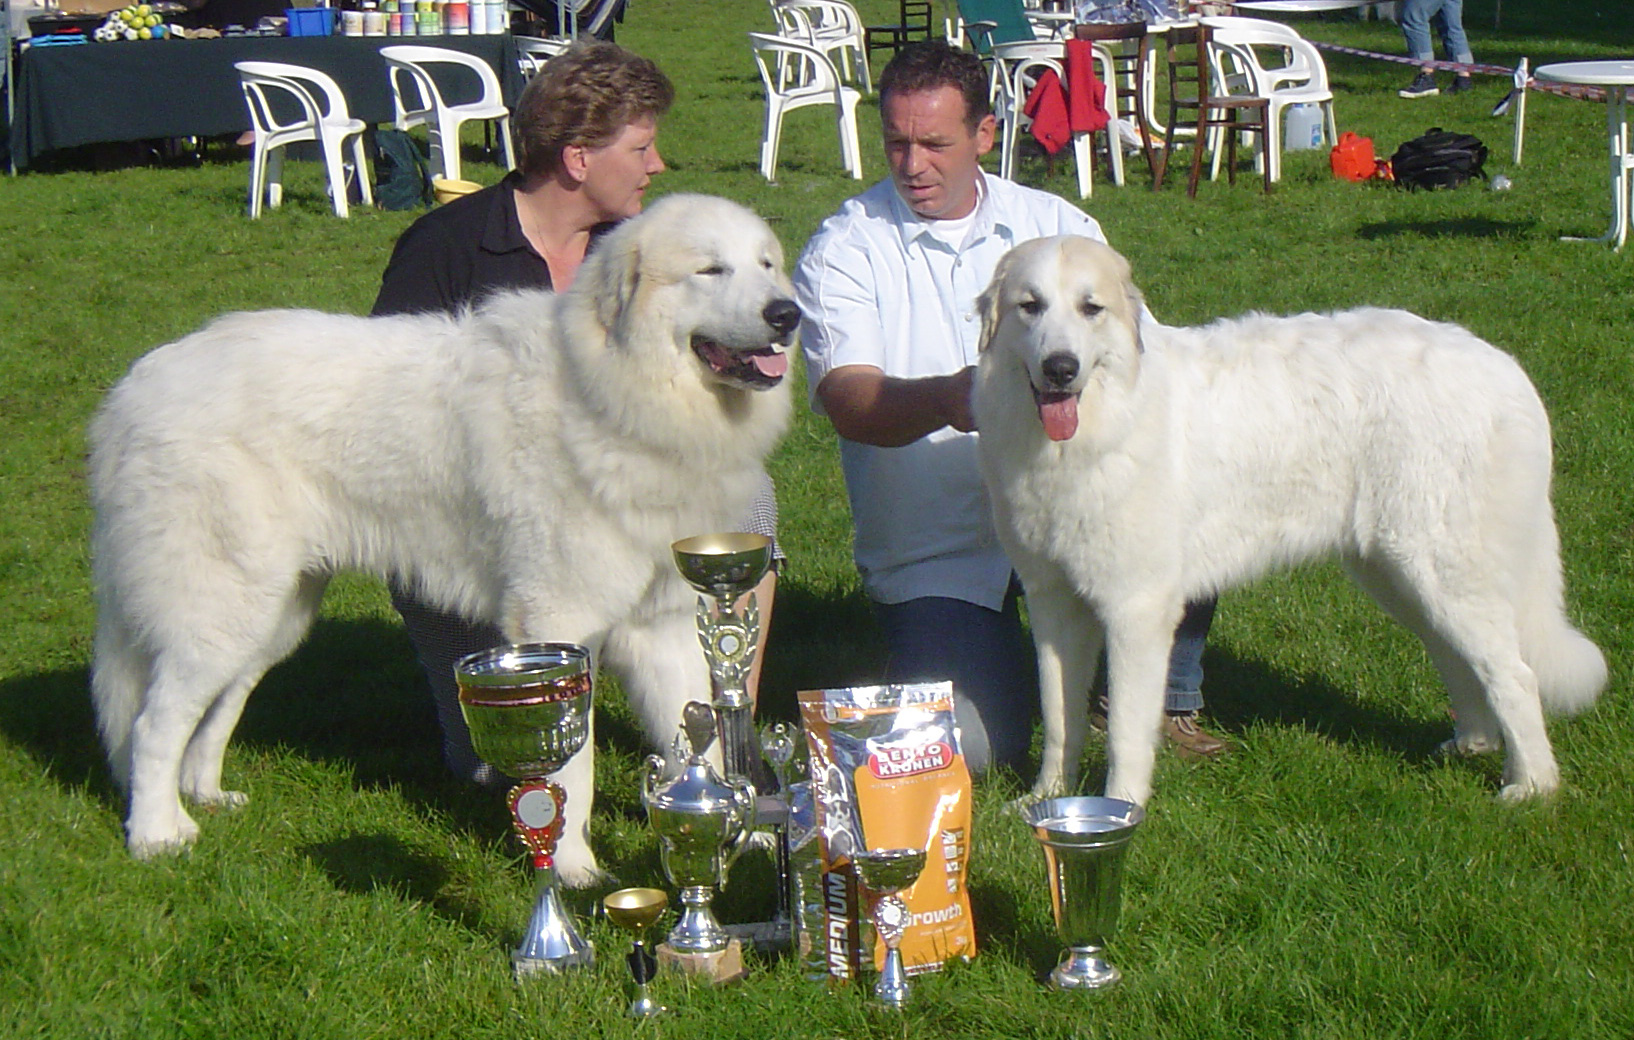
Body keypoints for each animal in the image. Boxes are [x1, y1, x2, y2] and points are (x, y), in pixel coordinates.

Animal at [89, 194, 797, 876]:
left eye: (766, 264)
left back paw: (205, 793)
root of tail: (133, 391)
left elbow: (696, 733)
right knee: (154, 723)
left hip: (276, 613)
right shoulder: (559, 625)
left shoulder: (662, 625)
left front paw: (735, 836)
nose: (787, 313)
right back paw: (156, 834)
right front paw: (573, 870)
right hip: (224, 604)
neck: (612, 389)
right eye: (710, 270)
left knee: (217, 708)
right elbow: (575, 771)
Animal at [973, 237, 1601, 811]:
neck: (1099, 422)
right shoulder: (1055, 603)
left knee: (1515, 674)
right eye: (1030, 306)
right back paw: (1470, 744)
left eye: (1091, 308)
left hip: (1440, 570)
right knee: (1460, 660)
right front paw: (1045, 801)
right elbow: (1060, 719)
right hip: (1399, 575)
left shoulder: (1136, 608)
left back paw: (1531, 786)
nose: (1060, 368)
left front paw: (1121, 810)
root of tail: (1504, 367)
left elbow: (1126, 730)